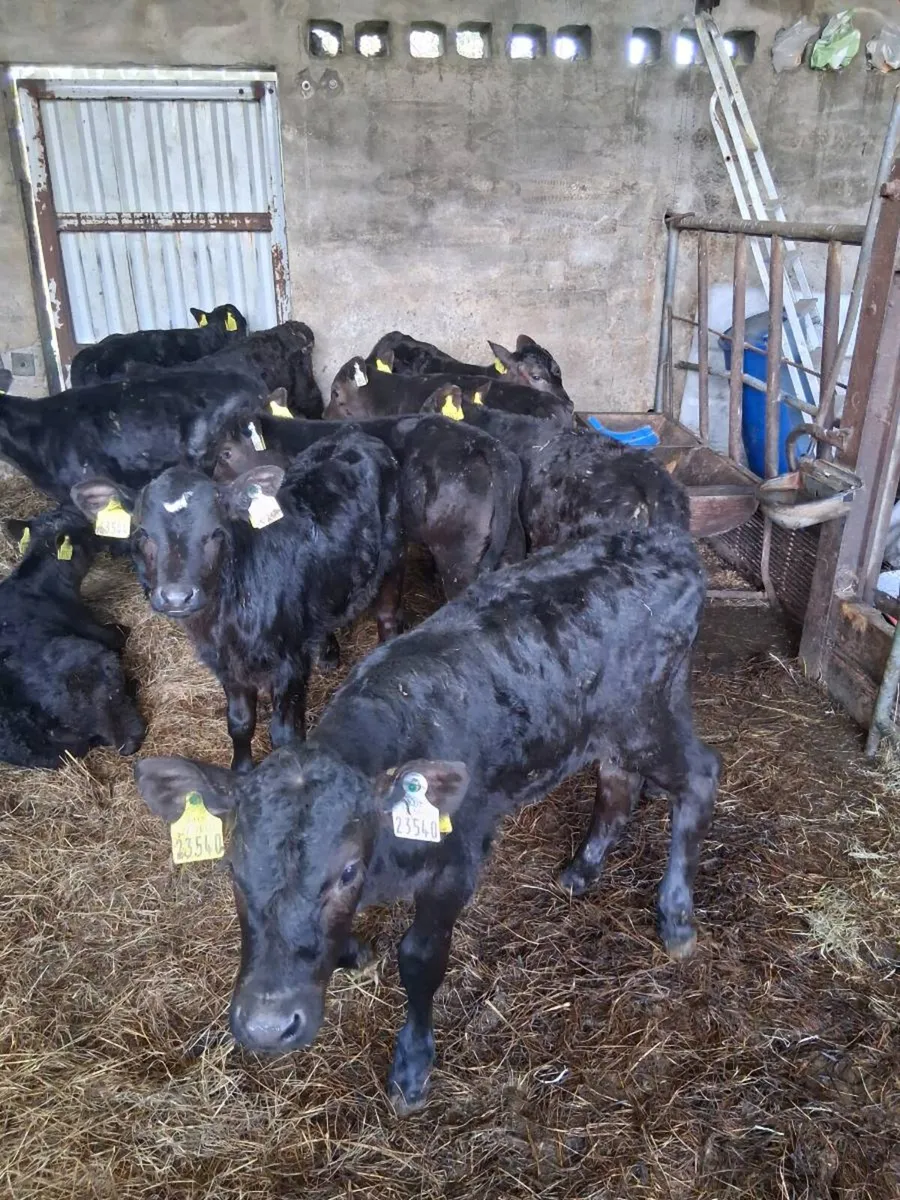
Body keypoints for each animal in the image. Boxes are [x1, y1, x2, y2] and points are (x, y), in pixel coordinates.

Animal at [72, 430, 404, 771]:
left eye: (215, 533)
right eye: (143, 534)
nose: (177, 596)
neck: (225, 620)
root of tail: (355, 435)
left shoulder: (290, 661)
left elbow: (283, 733)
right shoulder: (226, 665)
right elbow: (240, 721)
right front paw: (241, 768)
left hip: (393, 558)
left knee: (387, 616)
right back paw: (326, 654)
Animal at [134, 522, 718, 1112]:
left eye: (346, 871)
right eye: (232, 868)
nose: (268, 1026)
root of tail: (661, 540)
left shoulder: (458, 861)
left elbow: (419, 959)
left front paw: (412, 1064)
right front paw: (351, 951)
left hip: (648, 715)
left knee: (699, 777)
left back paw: (675, 916)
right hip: (611, 728)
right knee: (619, 781)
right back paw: (584, 866)